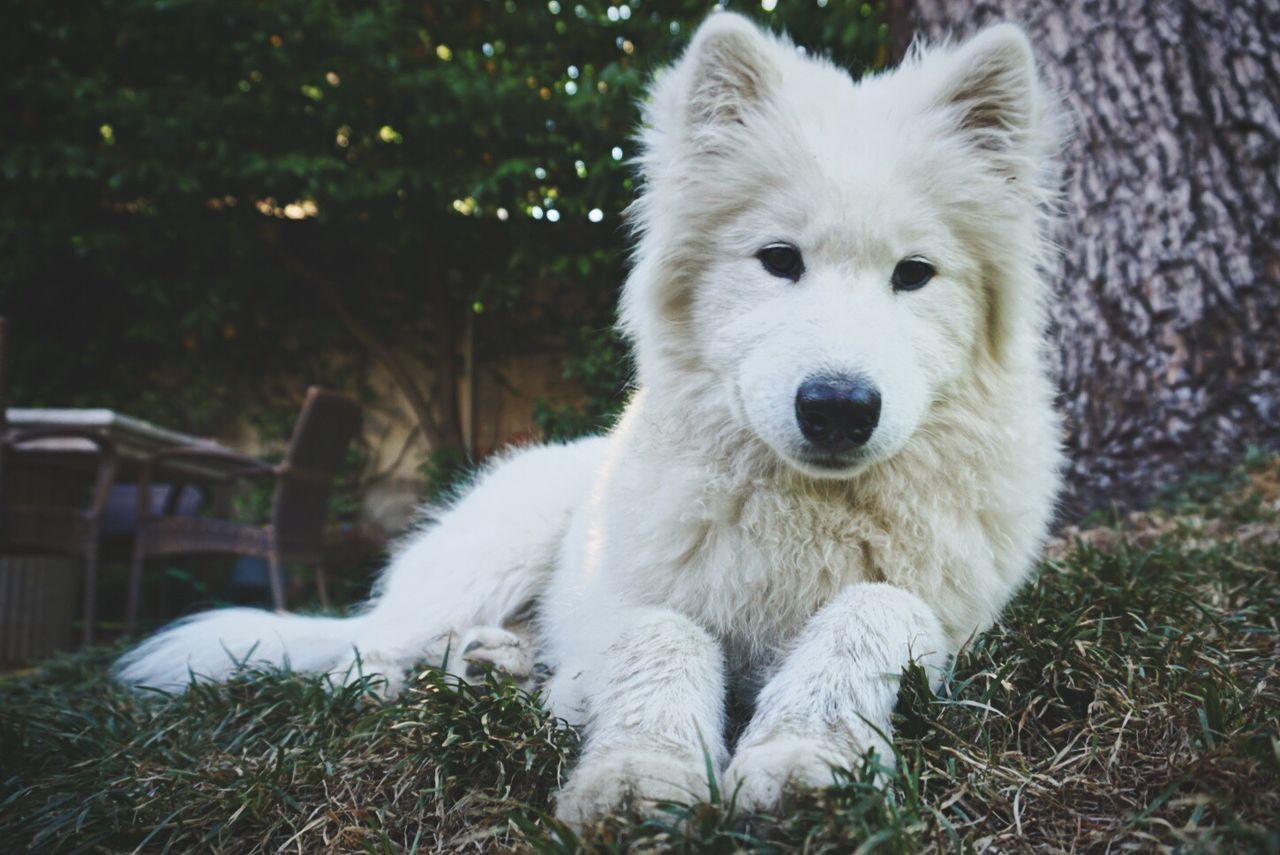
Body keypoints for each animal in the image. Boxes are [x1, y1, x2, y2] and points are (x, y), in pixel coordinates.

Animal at [117, 13, 1059, 824]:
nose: (837, 408)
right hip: (493, 549)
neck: (805, 505)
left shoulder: (954, 628)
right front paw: (642, 769)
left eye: (915, 273)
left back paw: (490, 663)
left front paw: (801, 754)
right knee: (361, 644)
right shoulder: (631, 602)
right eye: (779, 260)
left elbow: (871, 609)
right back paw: (408, 676)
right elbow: (662, 632)